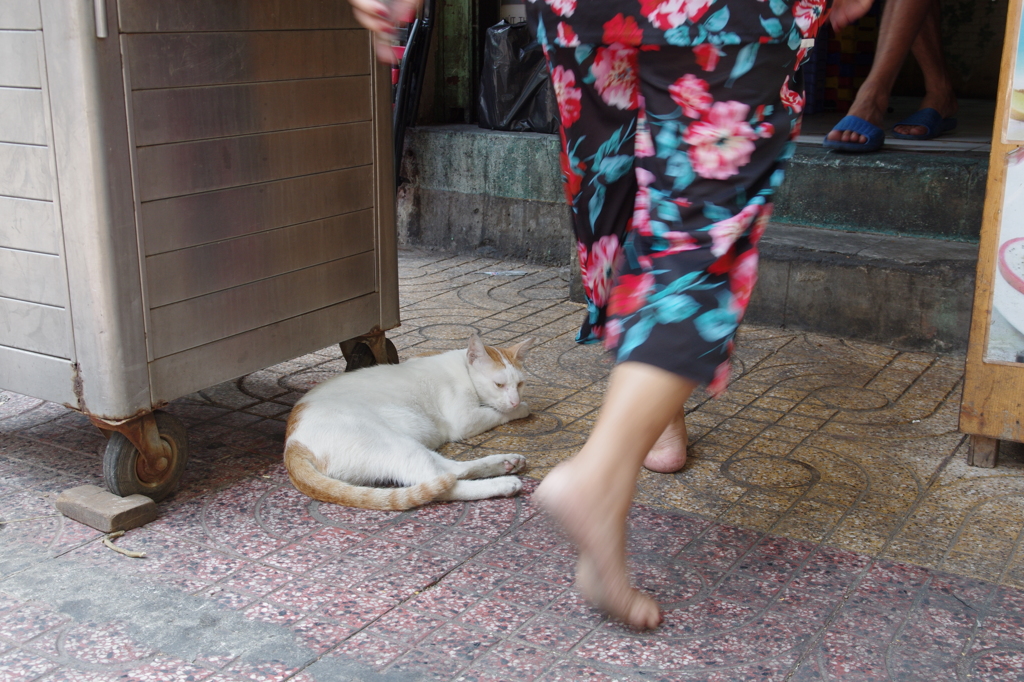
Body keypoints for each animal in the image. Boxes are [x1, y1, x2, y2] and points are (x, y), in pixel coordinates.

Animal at [284, 333, 532, 509]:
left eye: (520, 384)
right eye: (498, 384)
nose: (515, 400)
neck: (462, 367)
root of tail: (292, 443)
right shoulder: (465, 420)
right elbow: (497, 413)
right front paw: (520, 409)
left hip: (408, 446)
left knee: (452, 470)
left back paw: (506, 462)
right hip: (396, 444)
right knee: (441, 483)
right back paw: (502, 483)